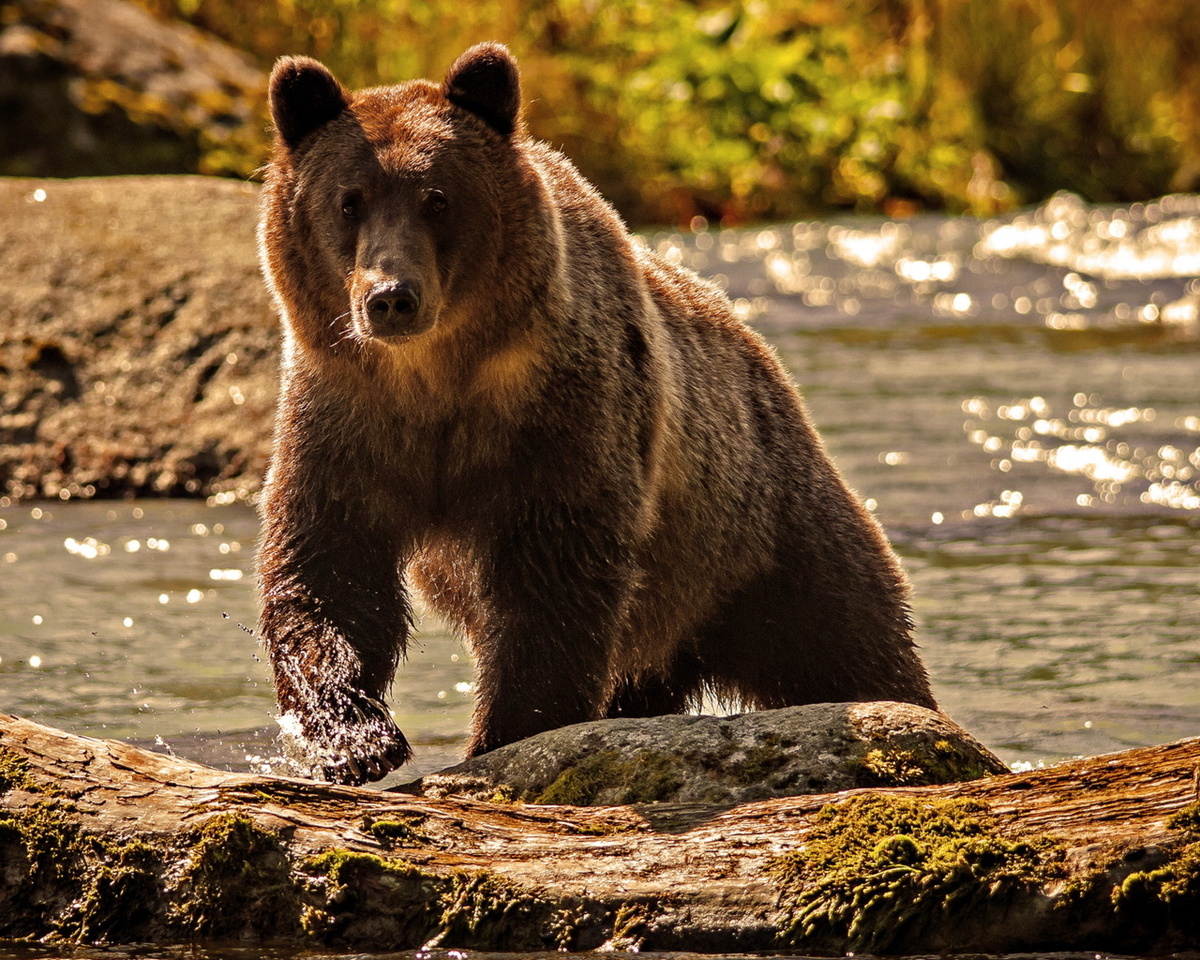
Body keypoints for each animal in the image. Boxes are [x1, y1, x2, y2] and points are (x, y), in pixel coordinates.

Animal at [256, 42, 937, 785]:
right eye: (348, 201)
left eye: (436, 197)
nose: (390, 297)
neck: (436, 379)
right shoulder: (346, 416)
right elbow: (329, 566)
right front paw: (353, 737)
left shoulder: (563, 417)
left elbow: (553, 583)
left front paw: (503, 734)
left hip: (760, 530)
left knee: (846, 638)